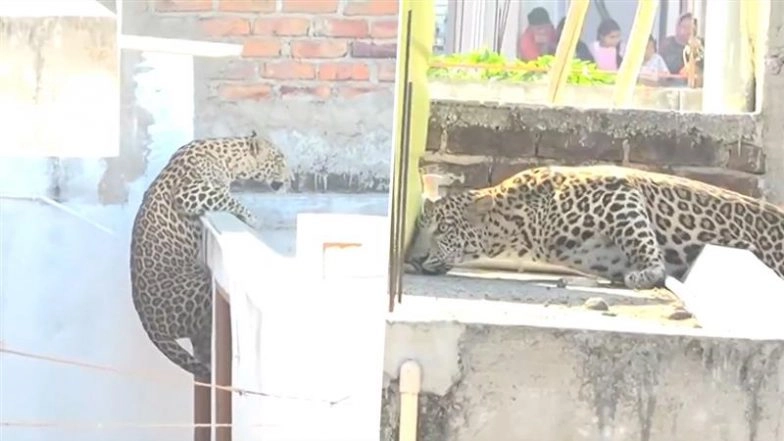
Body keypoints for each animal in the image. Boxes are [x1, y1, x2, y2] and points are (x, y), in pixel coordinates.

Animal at [130, 131, 290, 378]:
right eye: (279, 159)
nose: (291, 179)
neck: (229, 159)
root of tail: (148, 324)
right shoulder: (189, 192)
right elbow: (227, 197)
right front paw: (253, 219)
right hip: (202, 286)